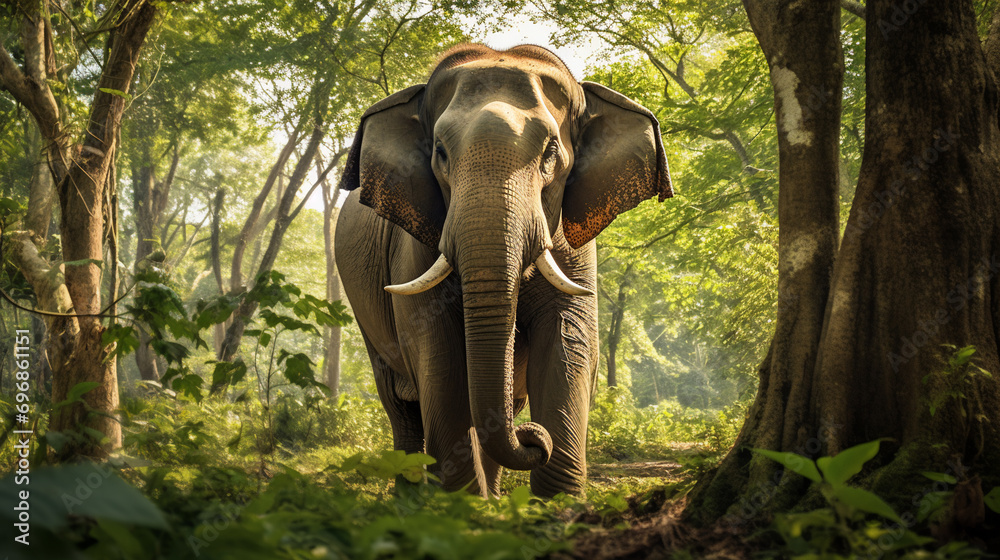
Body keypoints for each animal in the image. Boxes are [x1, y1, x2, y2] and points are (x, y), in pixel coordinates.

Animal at [335, 43, 673, 498]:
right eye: (440, 152)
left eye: (550, 151)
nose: (533, 438)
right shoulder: (417, 241)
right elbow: (437, 351)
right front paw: (460, 504)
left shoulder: (574, 246)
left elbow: (568, 339)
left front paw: (555, 503)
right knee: (400, 404)